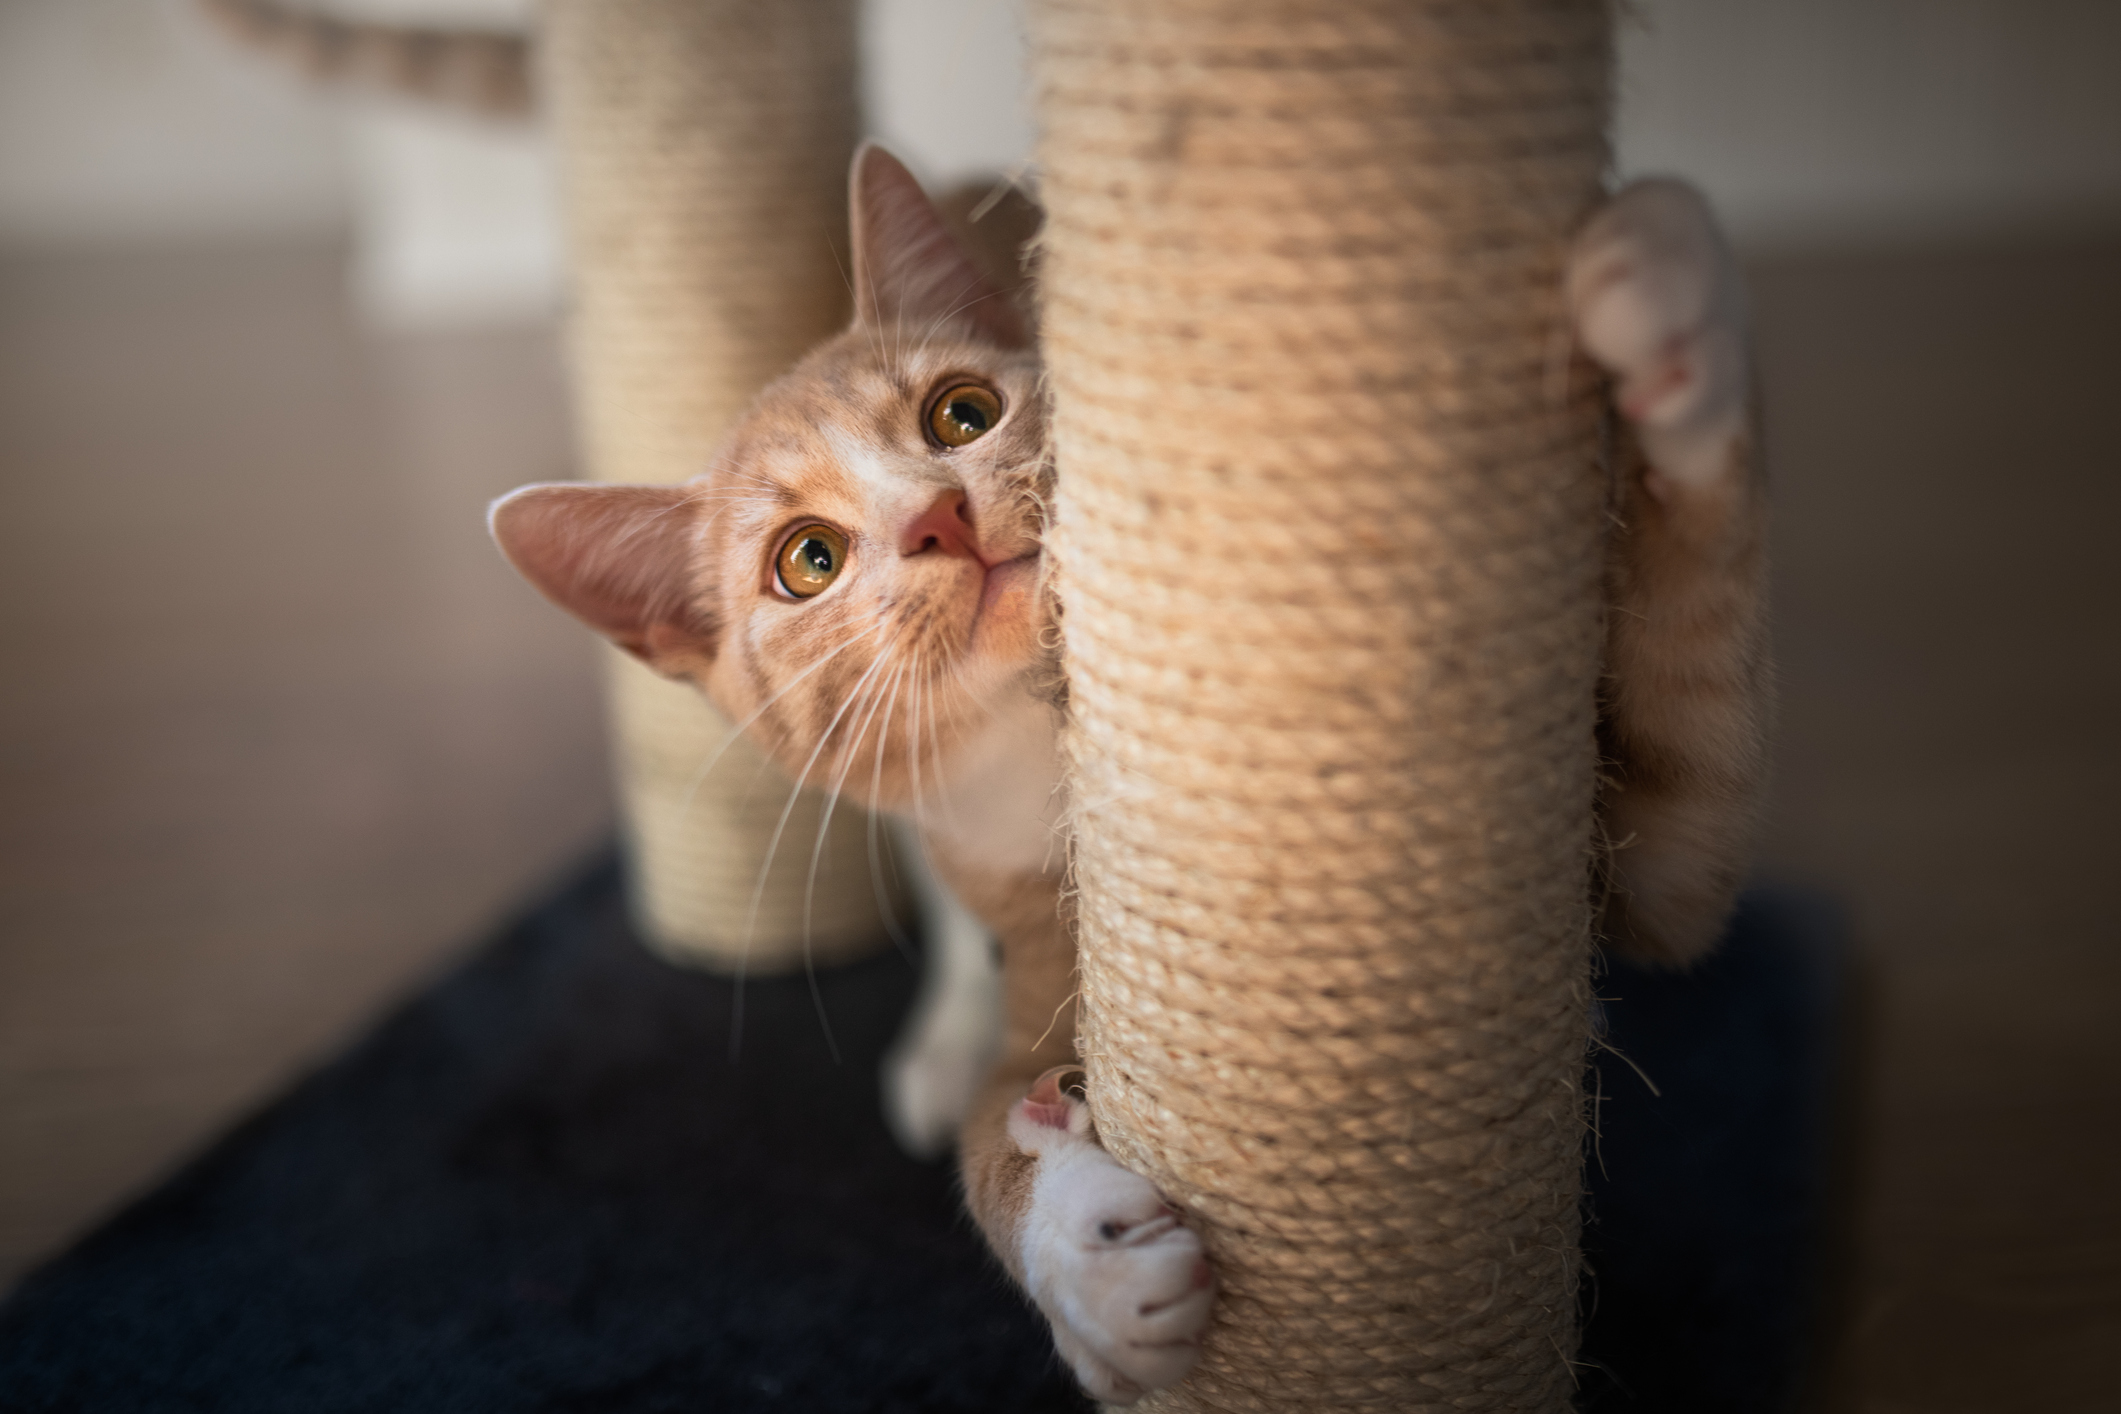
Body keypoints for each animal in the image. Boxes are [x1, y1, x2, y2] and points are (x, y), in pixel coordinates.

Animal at [487, 146, 1764, 1407]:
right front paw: (1088, 1253)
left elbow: (1690, 709)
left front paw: (1662, 299)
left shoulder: (1643, 850)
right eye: (808, 560)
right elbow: (994, 1127)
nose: (939, 516)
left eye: (962, 412)